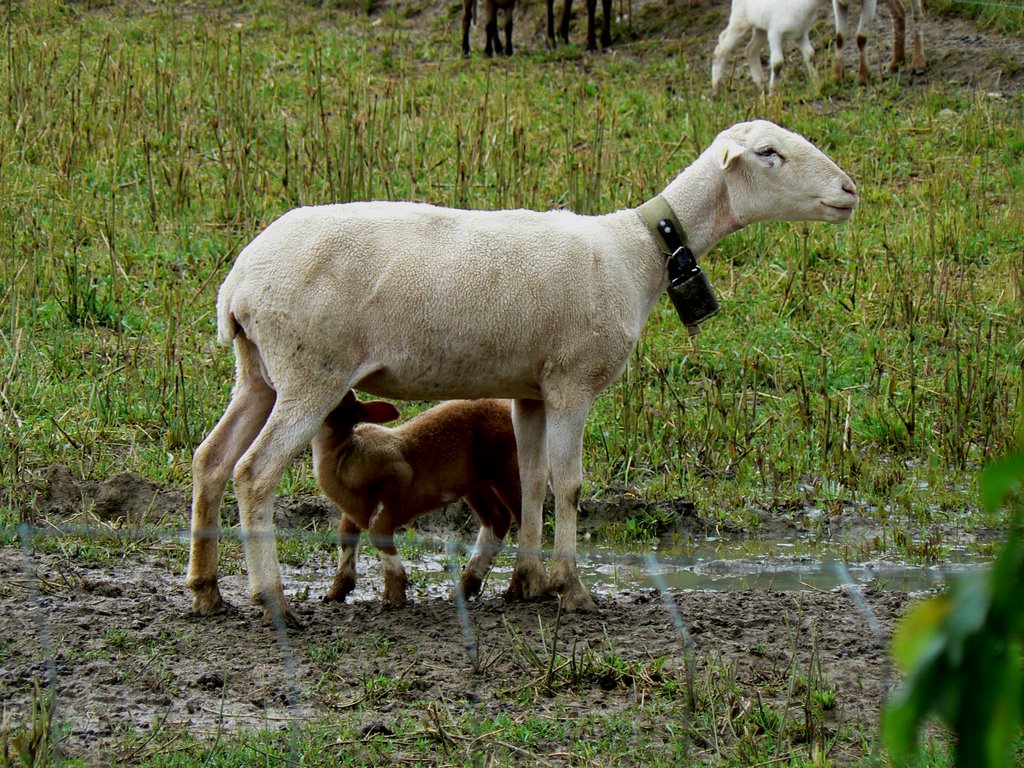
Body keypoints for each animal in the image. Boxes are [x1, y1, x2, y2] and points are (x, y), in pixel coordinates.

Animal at [309, 397, 520, 606]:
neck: (344, 454)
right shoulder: (353, 510)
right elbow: (345, 536)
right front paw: (335, 593)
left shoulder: (397, 479)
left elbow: (378, 533)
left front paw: (394, 595)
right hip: (476, 482)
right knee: (498, 518)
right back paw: (464, 589)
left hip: (504, 464)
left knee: (522, 516)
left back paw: (515, 588)